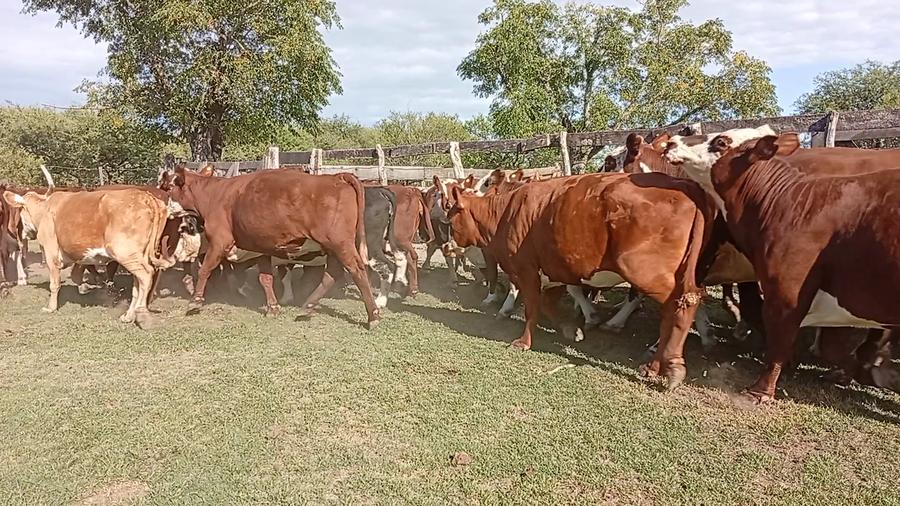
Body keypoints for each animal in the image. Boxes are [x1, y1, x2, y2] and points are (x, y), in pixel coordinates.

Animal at [1, 187, 175, 327]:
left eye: (21, 213)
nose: (22, 233)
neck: (45, 209)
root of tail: (147, 197)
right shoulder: (79, 255)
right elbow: (75, 275)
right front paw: (85, 287)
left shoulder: (51, 253)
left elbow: (54, 283)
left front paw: (51, 307)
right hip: (139, 255)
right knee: (138, 284)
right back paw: (128, 315)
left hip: (124, 252)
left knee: (146, 275)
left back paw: (140, 313)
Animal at [159, 166, 382, 328]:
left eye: (168, 188)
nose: (163, 209)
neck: (215, 195)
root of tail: (337, 177)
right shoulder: (261, 249)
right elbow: (265, 278)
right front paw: (273, 307)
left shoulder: (220, 242)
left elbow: (205, 269)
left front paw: (195, 301)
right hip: (332, 247)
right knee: (333, 274)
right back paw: (308, 306)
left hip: (340, 244)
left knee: (357, 270)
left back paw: (373, 315)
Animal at [434, 172, 716, 391]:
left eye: (452, 218)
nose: (446, 246)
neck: (505, 213)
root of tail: (685, 183)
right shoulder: (556, 268)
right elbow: (549, 304)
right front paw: (570, 329)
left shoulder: (526, 269)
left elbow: (533, 307)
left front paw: (524, 342)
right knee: (678, 309)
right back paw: (655, 365)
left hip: (647, 272)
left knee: (680, 308)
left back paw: (671, 368)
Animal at [680, 131, 900, 403]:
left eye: (721, 142)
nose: (675, 139)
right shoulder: (842, 292)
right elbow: (832, 347)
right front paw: (875, 373)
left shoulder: (787, 292)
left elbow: (779, 341)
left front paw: (759, 391)